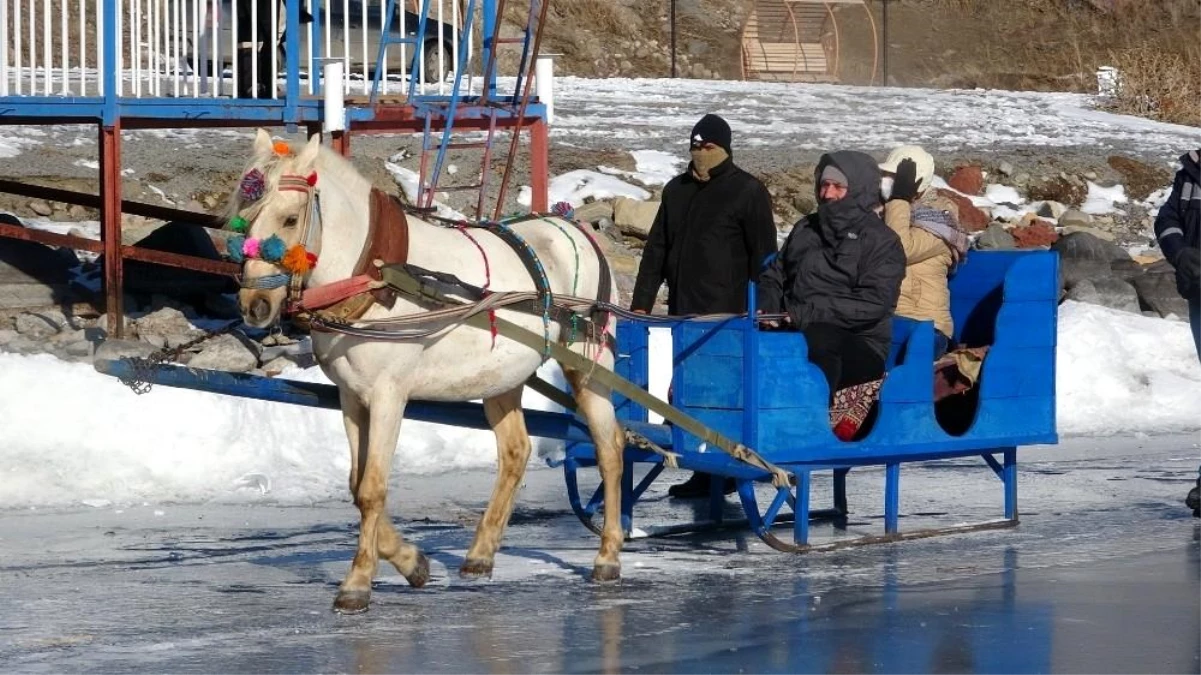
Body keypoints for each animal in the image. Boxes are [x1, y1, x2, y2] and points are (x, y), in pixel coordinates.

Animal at [234, 127, 629, 610]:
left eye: (290, 219)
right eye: (243, 218)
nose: (254, 305)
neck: (375, 274)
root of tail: (576, 227)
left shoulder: (388, 395)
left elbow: (372, 489)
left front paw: (358, 582)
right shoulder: (352, 396)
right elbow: (356, 485)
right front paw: (411, 562)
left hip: (589, 362)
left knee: (610, 449)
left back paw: (607, 555)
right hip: (502, 376)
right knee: (516, 452)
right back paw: (480, 553)